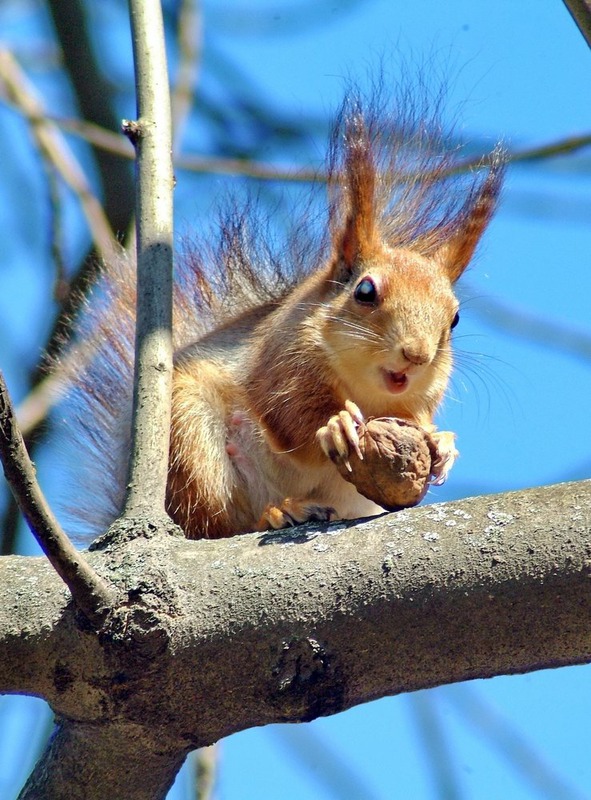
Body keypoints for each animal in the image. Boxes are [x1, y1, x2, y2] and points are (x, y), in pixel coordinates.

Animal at [59, 87, 504, 540]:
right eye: (365, 291)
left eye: (454, 319)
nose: (416, 355)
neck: (363, 385)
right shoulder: (284, 362)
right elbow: (291, 421)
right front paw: (335, 425)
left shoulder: (419, 397)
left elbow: (416, 419)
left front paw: (442, 442)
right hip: (190, 436)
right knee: (216, 521)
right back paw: (275, 513)